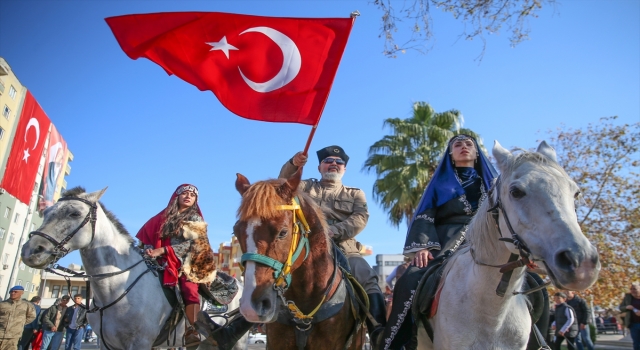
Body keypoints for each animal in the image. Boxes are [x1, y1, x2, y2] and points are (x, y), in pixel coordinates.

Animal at [20, 189, 245, 350]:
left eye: (74, 213)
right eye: (46, 212)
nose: (31, 250)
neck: (117, 289)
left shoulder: (140, 343)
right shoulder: (106, 344)